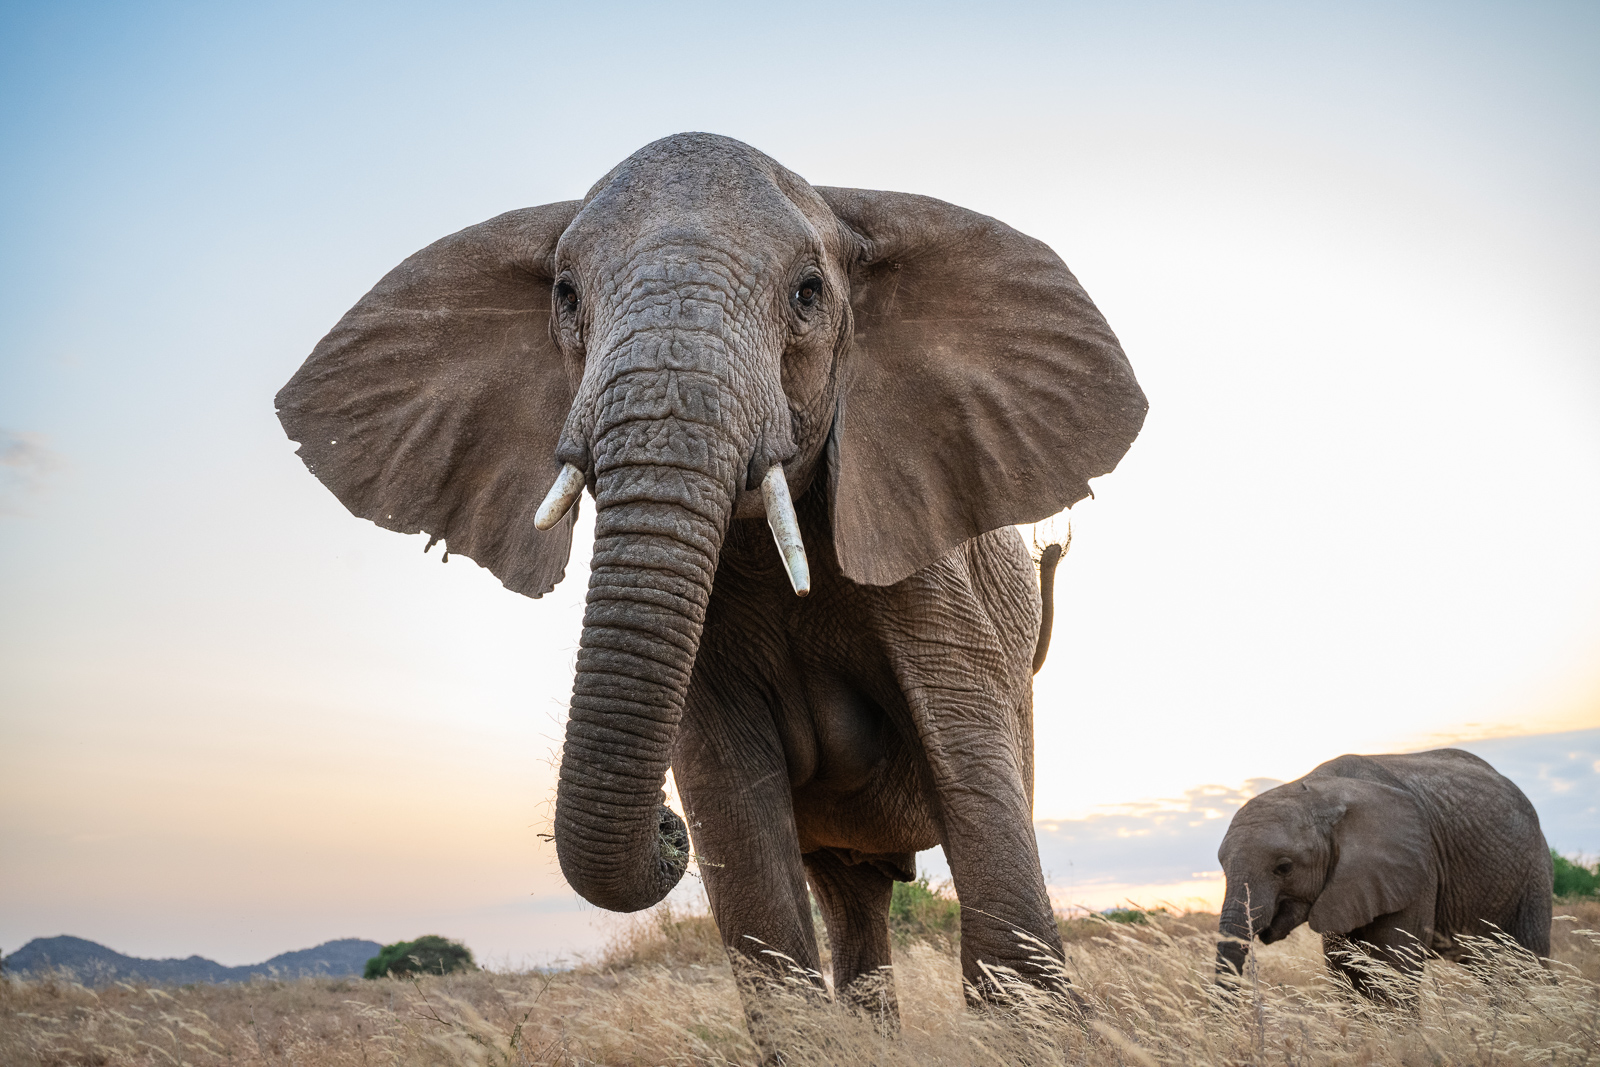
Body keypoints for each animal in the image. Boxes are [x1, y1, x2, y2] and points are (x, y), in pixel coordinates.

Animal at [276, 133, 1146, 1033]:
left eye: (808, 294)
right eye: (565, 296)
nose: (665, 827)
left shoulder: (936, 560)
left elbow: (978, 787)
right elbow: (746, 857)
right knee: (853, 902)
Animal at [1216, 749, 1552, 1001]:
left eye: (1284, 867)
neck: (1319, 793)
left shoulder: (1417, 865)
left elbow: (1396, 964)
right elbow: (1343, 965)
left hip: (1533, 874)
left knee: (1525, 959)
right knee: (1493, 966)